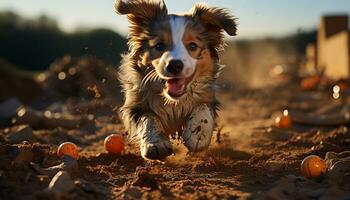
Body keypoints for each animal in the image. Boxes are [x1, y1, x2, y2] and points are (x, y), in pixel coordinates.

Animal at [115, 0, 238, 159]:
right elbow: (148, 118)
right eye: (159, 45)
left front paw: (197, 136)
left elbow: (203, 107)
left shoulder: (208, 97)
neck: (173, 102)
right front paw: (155, 143)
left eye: (192, 45)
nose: (174, 65)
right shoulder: (135, 103)